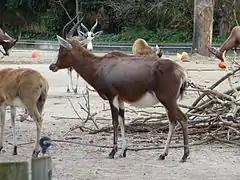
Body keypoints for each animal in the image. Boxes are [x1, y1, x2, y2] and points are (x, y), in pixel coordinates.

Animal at [49, 29, 190, 162]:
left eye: (61, 49)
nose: (52, 66)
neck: (101, 65)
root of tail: (181, 71)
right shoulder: (121, 100)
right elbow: (122, 122)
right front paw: (123, 151)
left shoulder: (112, 97)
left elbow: (115, 122)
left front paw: (112, 152)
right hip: (167, 103)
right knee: (172, 122)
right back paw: (163, 154)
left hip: (168, 101)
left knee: (182, 119)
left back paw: (184, 155)